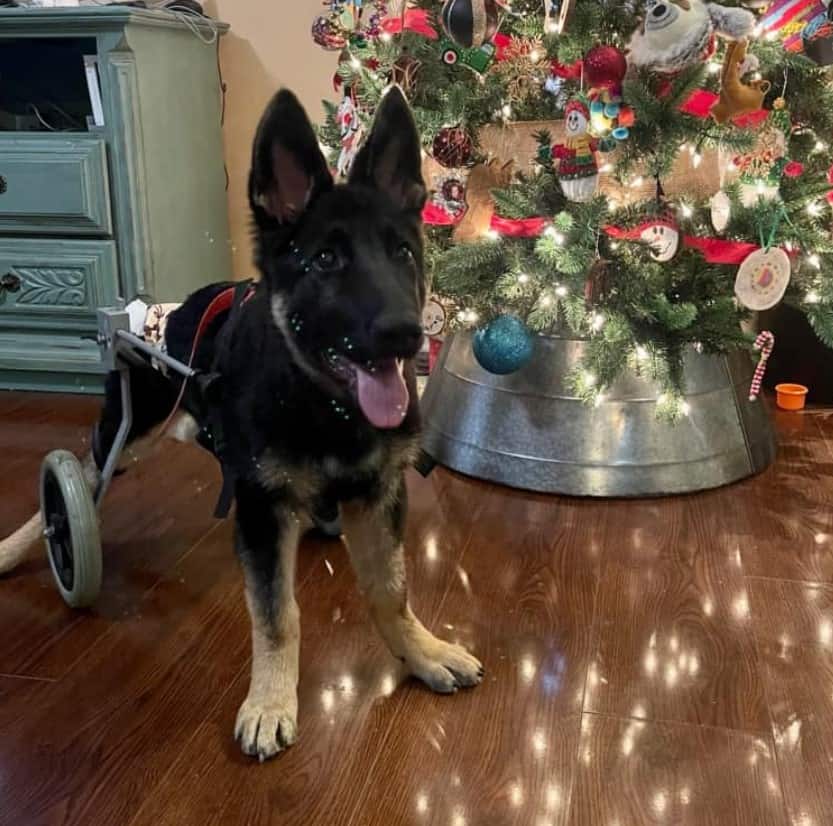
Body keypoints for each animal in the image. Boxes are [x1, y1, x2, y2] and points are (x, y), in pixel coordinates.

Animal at [0, 88, 480, 760]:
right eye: (325, 260)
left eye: (402, 253)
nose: (407, 335)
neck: (322, 404)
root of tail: (162, 311)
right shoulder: (259, 508)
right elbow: (277, 616)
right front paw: (271, 701)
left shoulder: (378, 493)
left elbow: (391, 588)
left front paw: (421, 652)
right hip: (127, 430)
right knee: (78, 479)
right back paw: (26, 541)